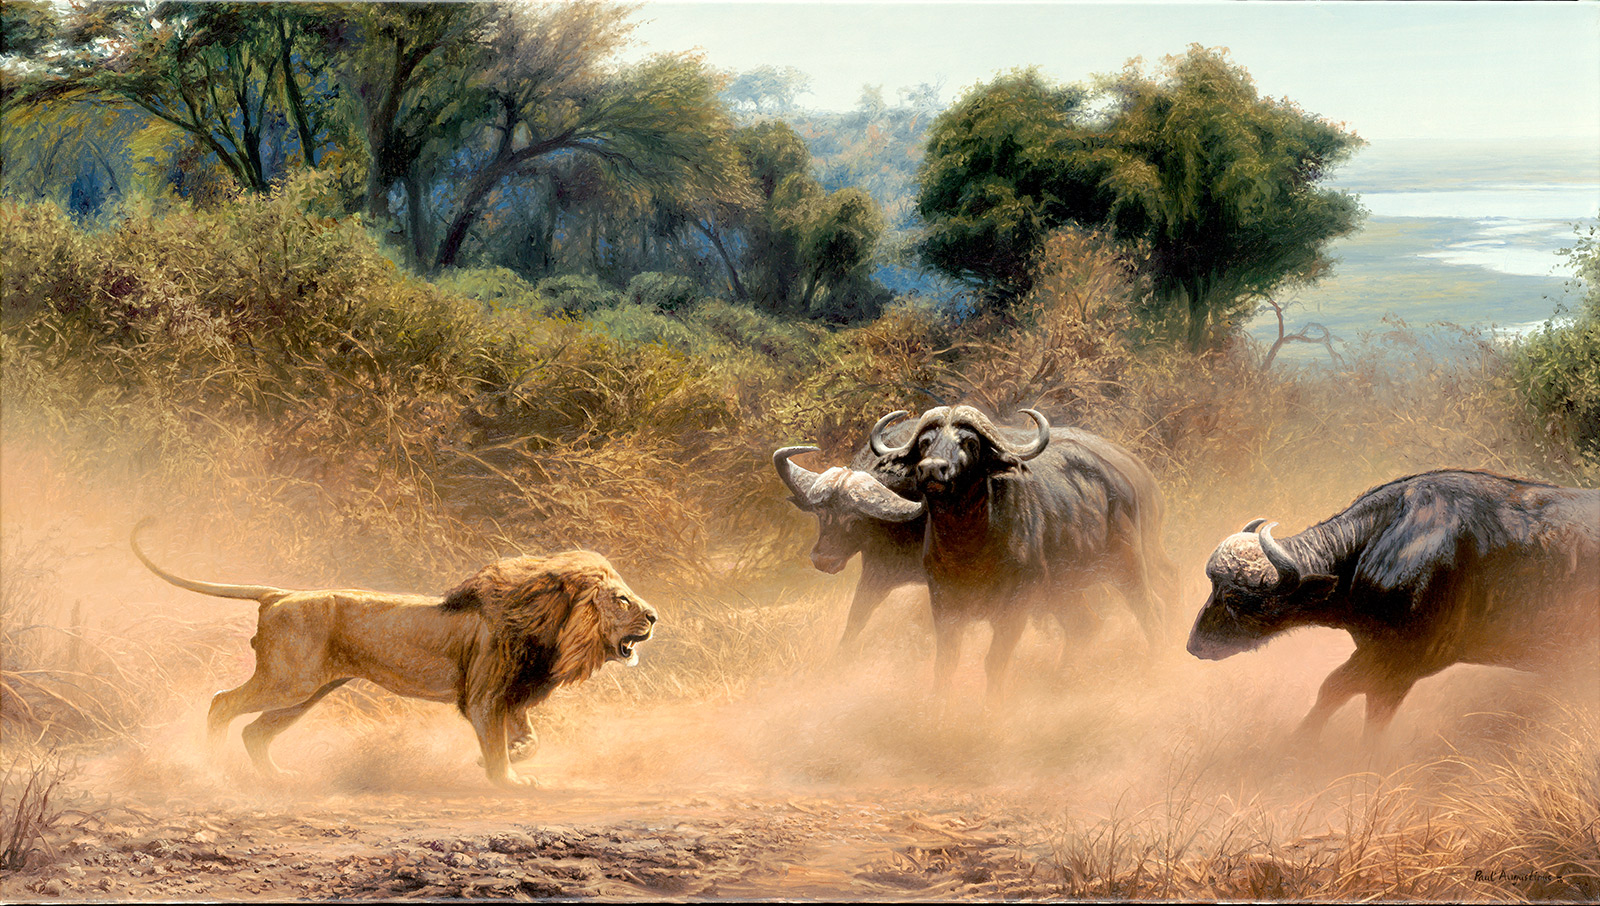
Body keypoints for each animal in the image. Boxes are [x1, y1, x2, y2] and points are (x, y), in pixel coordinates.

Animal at [130, 522, 657, 788]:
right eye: (622, 600)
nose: (655, 616)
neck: (546, 625)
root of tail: (280, 594)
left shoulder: (512, 695)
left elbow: (531, 739)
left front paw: (510, 757)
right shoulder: (485, 698)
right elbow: (495, 743)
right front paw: (505, 778)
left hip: (307, 691)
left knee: (255, 731)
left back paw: (278, 777)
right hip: (288, 681)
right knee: (221, 703)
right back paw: (210, 769)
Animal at [1188, 470, 1600, 743]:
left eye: (1237, 599)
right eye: (1213, 587)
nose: (1194, 645)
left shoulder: (1405, 660)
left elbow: (1344, 691)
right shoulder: (1378, 656)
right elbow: (1342, 693)